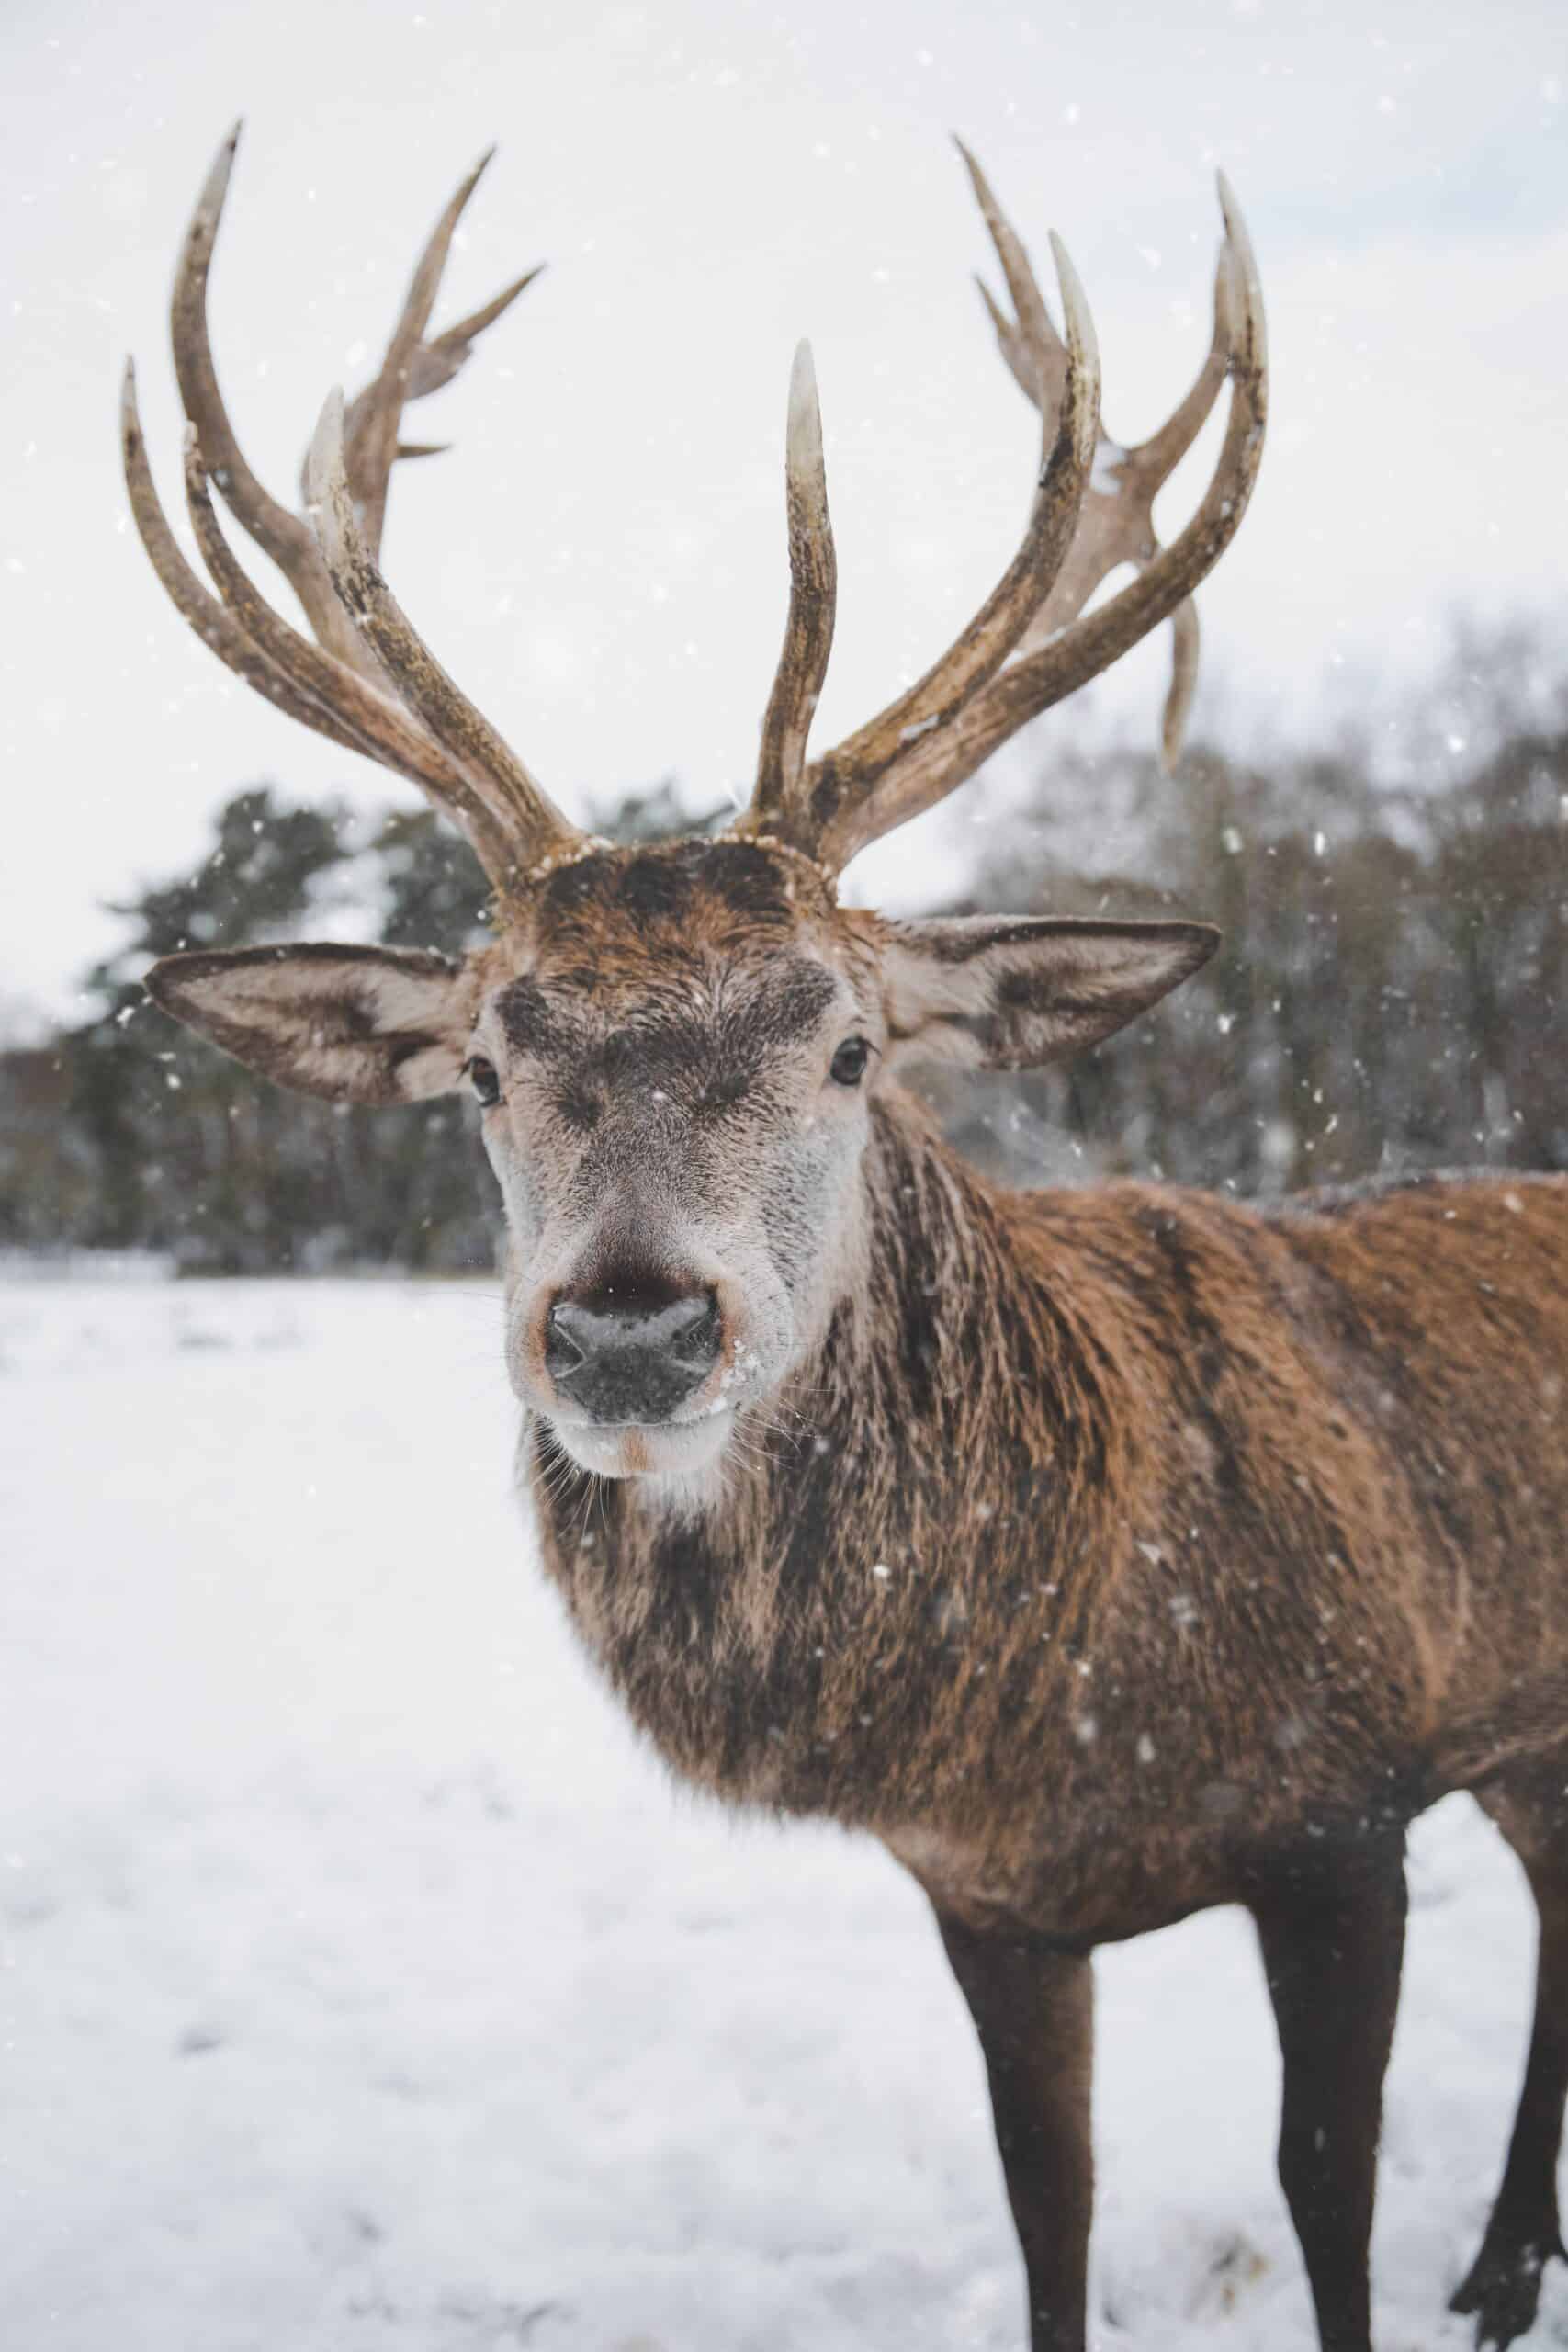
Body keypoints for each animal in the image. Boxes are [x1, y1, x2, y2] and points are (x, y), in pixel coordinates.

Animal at [125, 129, 1568, 2352]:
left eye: (849, 1041)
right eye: (482, 1063)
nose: (629, 1330)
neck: (1065, 1705)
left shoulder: (1346, 1803)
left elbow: (1322, 2201)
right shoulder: (982, 1897)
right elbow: (1047, 2207)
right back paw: (1501, 2263)